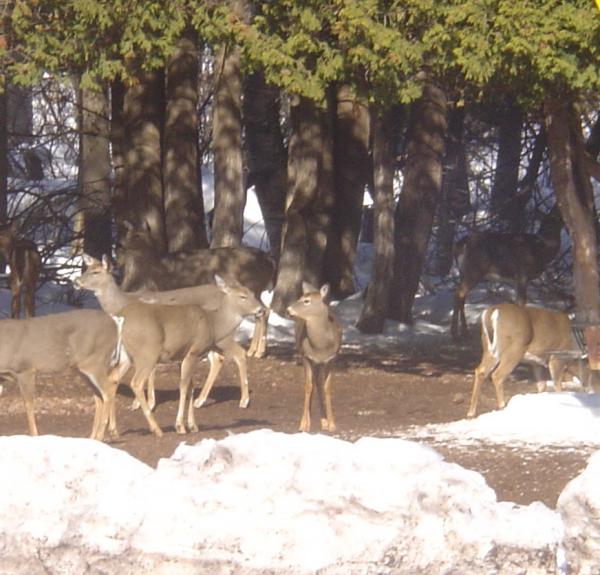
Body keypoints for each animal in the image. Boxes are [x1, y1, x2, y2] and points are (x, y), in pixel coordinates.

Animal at [0, 310, 120, 440]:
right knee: (99, 395)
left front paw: (34, 436)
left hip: (94, 360)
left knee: (109, 387)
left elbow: (28, 405)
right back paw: (92, 438)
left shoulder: (25, 369)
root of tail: (114, 324)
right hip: (81, 368)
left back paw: (102, 435)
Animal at [74, 256, 264, 436]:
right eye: (88, 269)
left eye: (96, 272)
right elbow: (184, 385)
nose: (76, 281)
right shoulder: (188, 353)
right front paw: (182, 423)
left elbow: (181, 384)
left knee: (237, 354)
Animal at [115, 223, 274, 358]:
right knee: (262, 311)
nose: (119, 244)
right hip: (254, 289)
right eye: (128, 232)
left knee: (264, 311)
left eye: (137, 235)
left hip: (252, 285)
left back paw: (258, 351)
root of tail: (270, 261)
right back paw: (253, 350)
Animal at [290, 282, 344, 434]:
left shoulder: (331, 359)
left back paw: (324, 421)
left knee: (319, 383)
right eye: (300, 297)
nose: (288, 310)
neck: (320, 347)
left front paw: (332, 424)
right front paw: (303, 424)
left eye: (306, 301)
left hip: (321, 364)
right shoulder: (306, 357)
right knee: (313, 383)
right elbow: (308, 386)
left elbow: (327, 388)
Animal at [452, 204, 564, 338]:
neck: (540, 251)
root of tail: (459, 244)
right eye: (546, 223)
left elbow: (517, 302)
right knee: (458, 294)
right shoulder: (522, 274)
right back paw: (455, 333)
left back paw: (463, 332)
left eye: (556, 221)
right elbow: (522, 302)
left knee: (461, 296)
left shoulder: (518, 278)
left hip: (464, 272)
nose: (547, 237)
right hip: (474, 270)